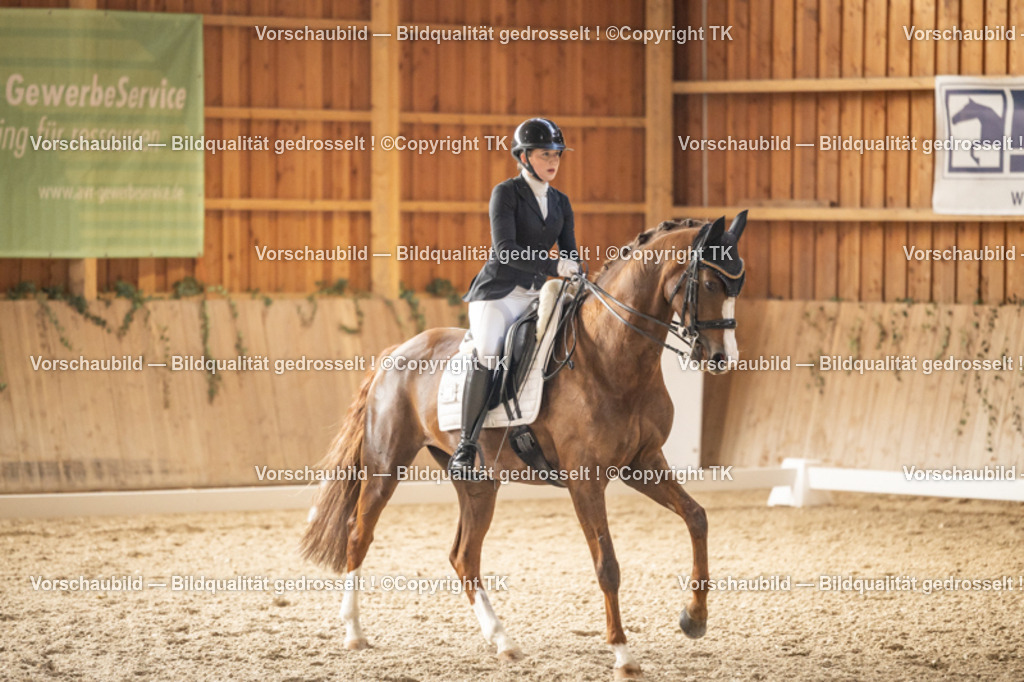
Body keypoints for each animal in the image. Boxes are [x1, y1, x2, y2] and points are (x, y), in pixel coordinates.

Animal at [301, 212, 748, 679]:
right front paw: (623, 654)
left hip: (478, 481)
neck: (613, 357)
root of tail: (396, 351)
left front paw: (694, 617)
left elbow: (697, 518)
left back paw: (503, 641)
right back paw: (354, 633)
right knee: (359, 535)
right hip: (386, 464)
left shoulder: (642, 464)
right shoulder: (585, 479)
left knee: (464, 556)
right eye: (711, 283)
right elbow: (607, 564)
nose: (722, 359)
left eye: (738, 285)